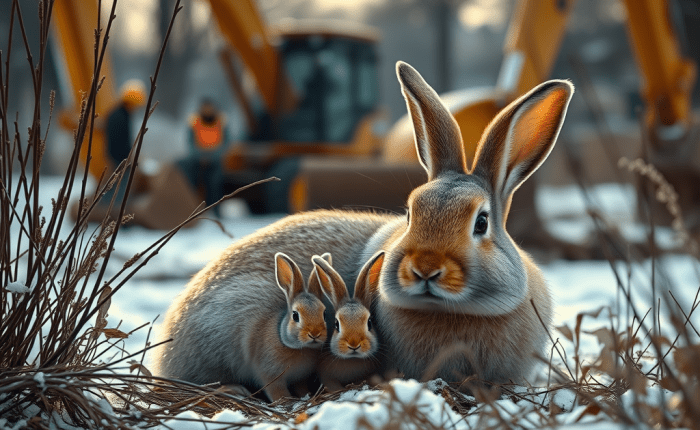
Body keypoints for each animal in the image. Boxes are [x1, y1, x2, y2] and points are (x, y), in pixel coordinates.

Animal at [155, 252, 328, 401]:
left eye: (324, 313)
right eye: (295, 315)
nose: (315, 334)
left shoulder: (301, 378)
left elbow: (301, 388)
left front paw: (306, 397)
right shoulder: (268, 373)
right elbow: (276, 390)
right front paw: (285, 401)